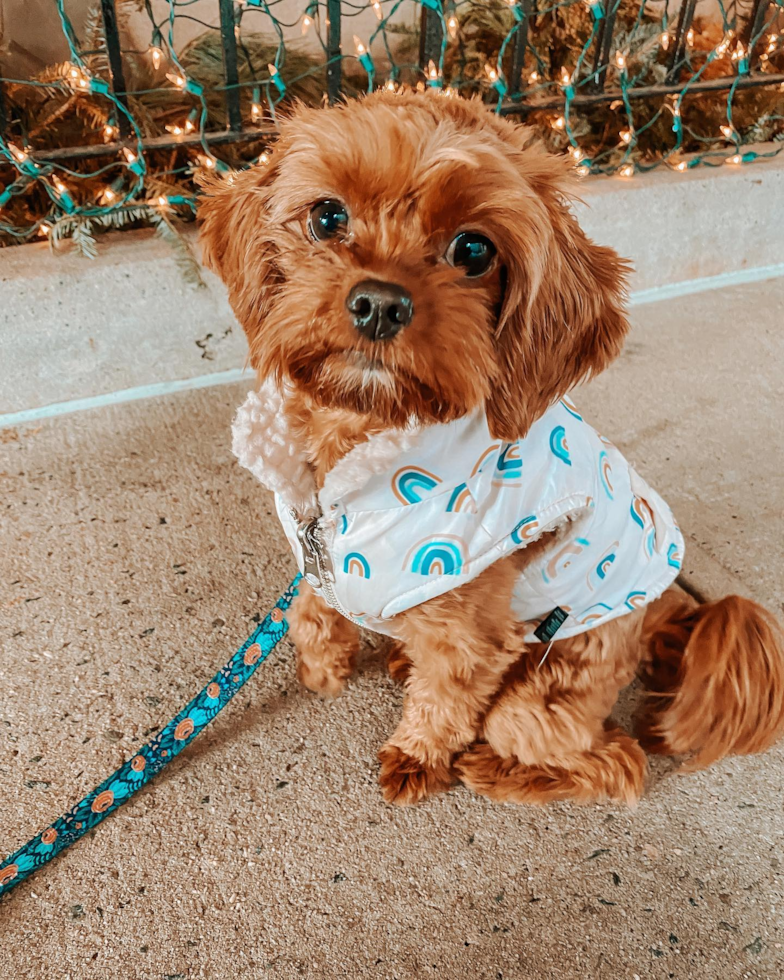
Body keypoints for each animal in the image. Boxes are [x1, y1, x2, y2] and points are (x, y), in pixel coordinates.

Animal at [201, 92, 784, 808]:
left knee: (613, 760)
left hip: (542, 696)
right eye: (328, 216)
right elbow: (312, 604)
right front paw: (323, 664)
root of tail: (661, 614)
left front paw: (418, 757)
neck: (358, 452)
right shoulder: (315, 552)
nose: (379, 304)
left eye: (473, 250)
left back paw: (494, 769)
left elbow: (445, 701)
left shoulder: (471, 636)